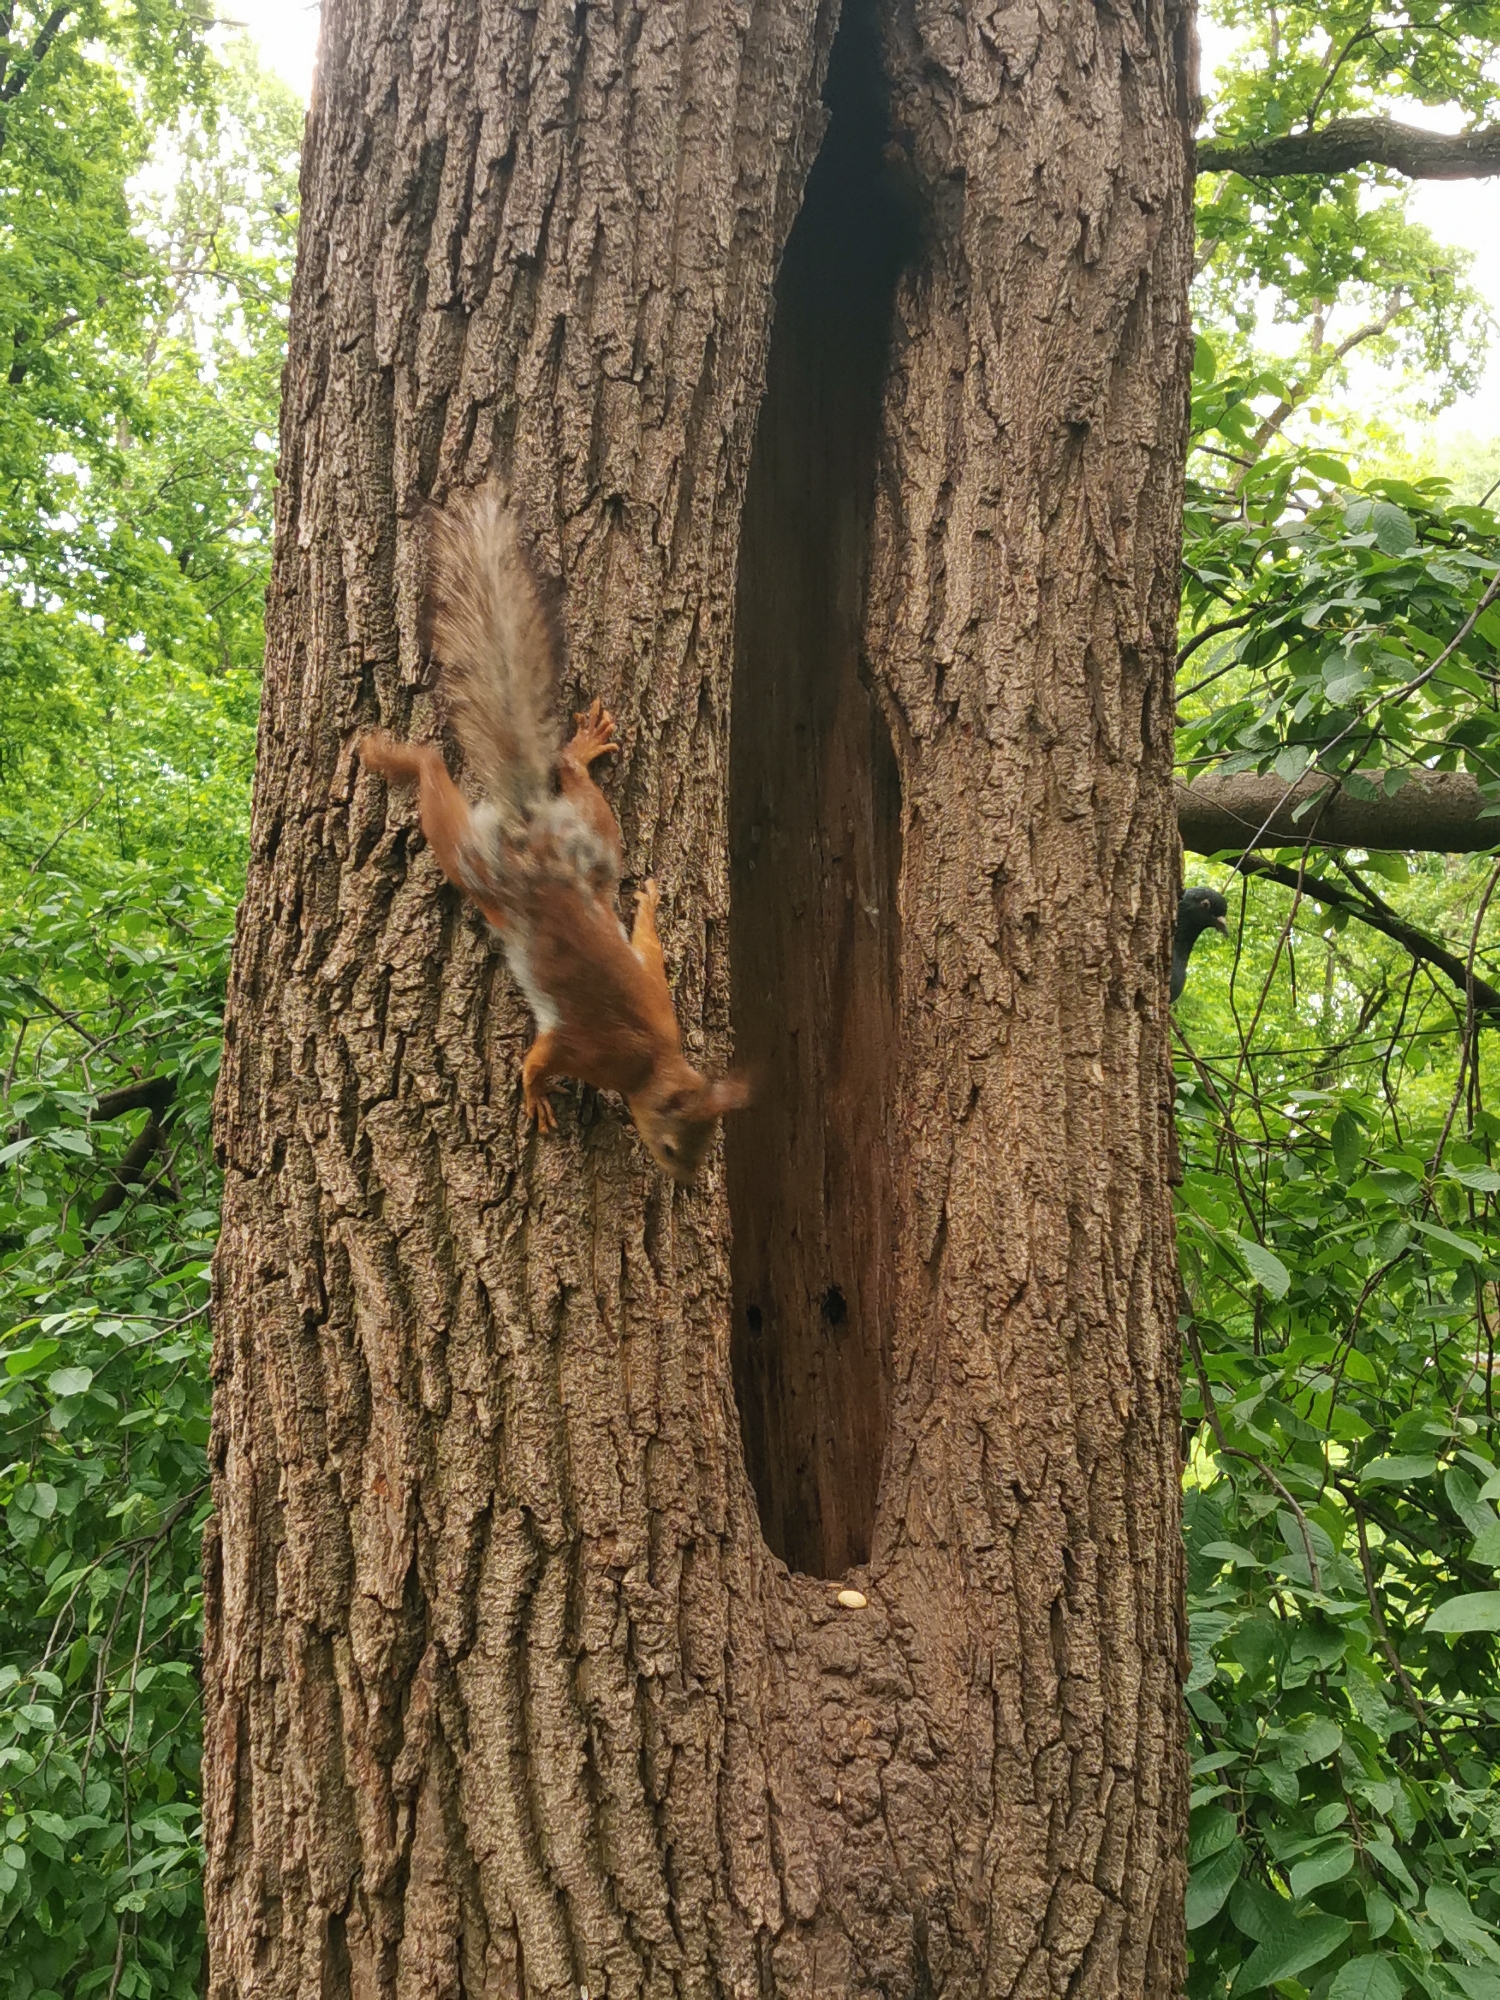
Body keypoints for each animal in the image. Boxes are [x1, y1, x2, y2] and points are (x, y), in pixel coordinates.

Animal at [357, 482, 748, 1182]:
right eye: (673, 1147)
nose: (682, 1182)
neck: (654, 1062)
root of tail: (532, 833)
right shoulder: (584, 1047)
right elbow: (540, 1059)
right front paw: (536, 1096)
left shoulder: (657, 990)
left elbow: (649, 949)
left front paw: (650, 905)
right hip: (475, 863)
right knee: (434, 775)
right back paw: (394, 756)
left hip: (594, 839)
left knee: (575, 790)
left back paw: (582, 755)